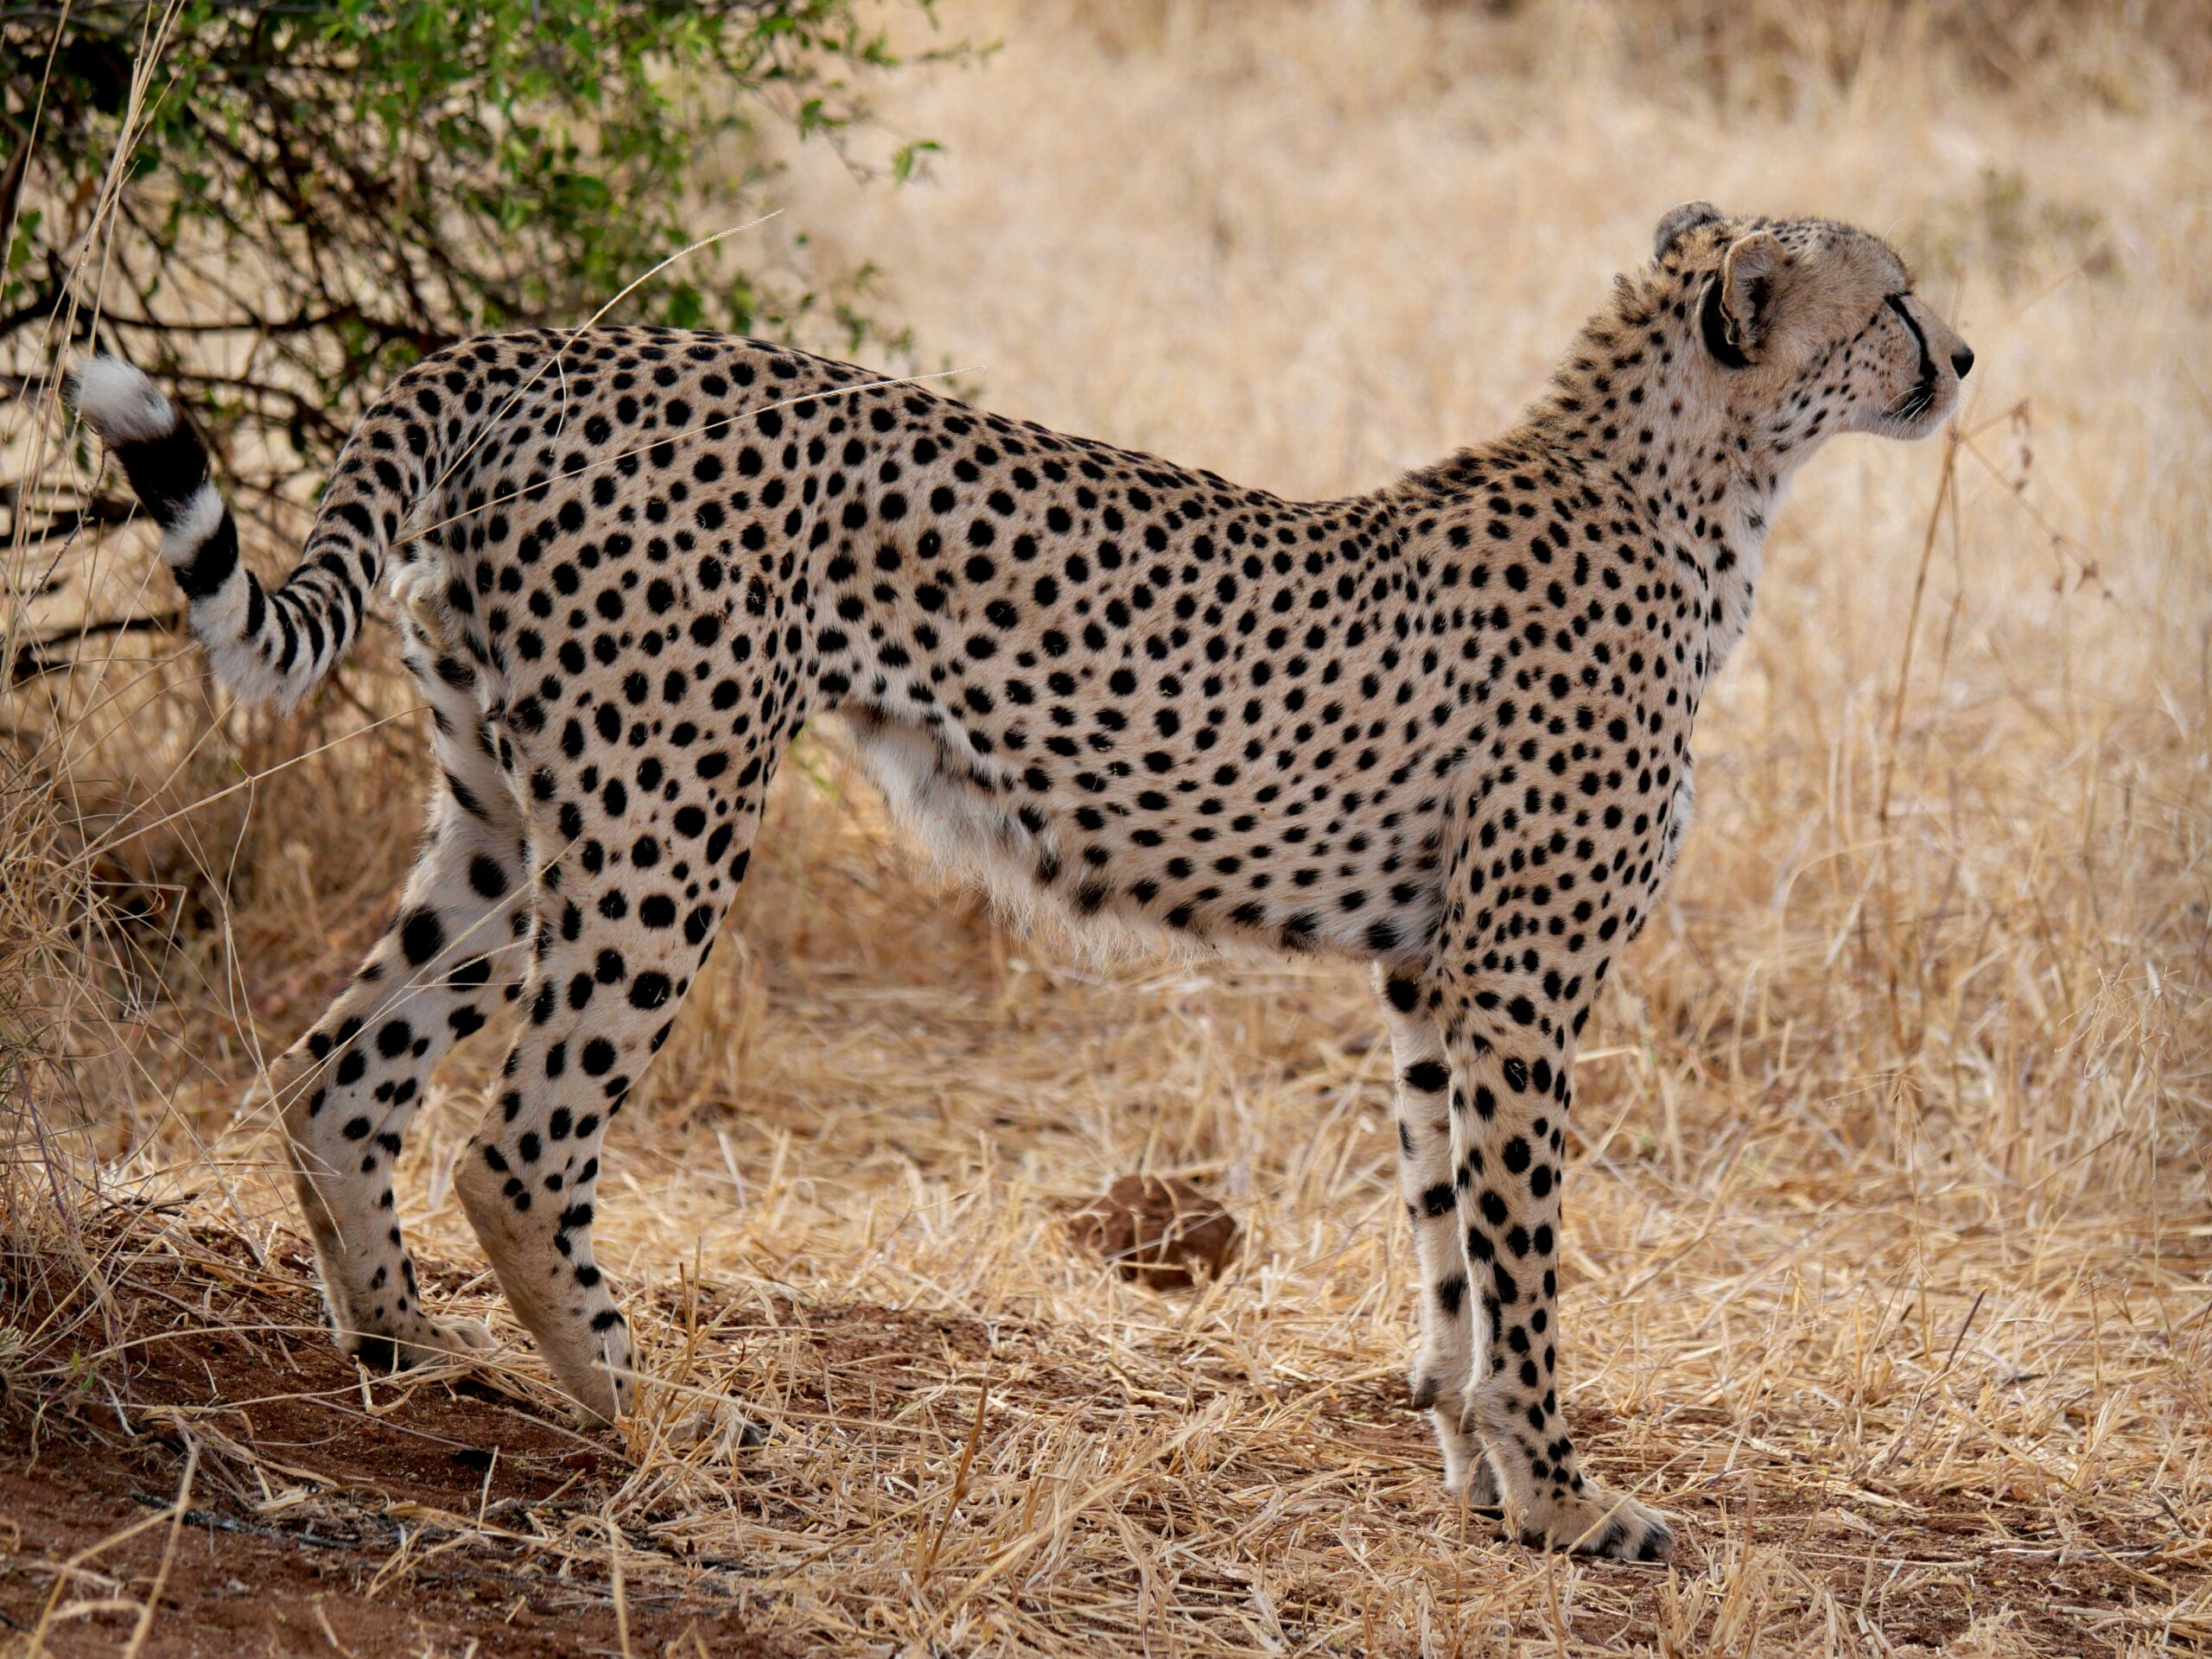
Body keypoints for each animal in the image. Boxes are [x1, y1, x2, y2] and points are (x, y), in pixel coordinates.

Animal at [74, 202, 1972, 1561]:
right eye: (1887, 297)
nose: (1960, 352)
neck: (1691, 488)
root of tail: (541, 353)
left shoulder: (1431, 979)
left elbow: (1447, 1251)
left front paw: (1485, 1480)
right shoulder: (1519, 985)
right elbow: (1522, 1261)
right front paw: (1574, 1503)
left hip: (506, 808)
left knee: (341, 1062)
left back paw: (410, 1358)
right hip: (665, 814)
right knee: (521, 1145)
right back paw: (660, 1416)